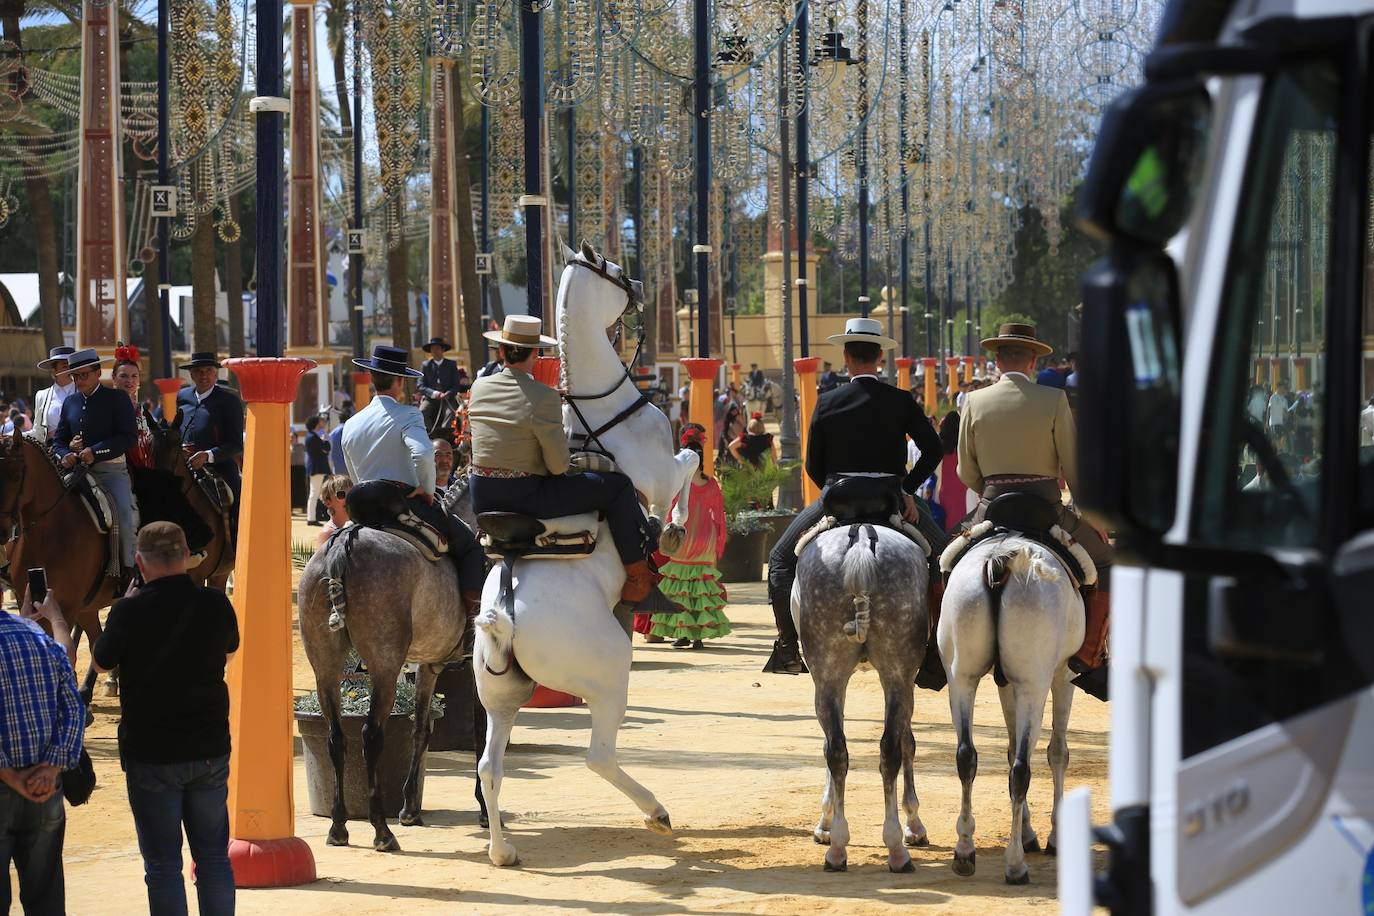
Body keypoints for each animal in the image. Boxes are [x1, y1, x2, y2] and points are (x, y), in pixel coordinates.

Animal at [295, 527, 467, 856]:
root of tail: (343, 544)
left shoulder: (427, 665)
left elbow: (421, 730)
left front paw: (410, 809)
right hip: (385, 669)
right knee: (371, 737)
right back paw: (381, 831)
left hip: (325, 670)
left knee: (336, 738)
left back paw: (338, 827)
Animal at [475, 238, 708, 867]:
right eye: (612, 269)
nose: (641, 287)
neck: (598, 408)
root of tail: (503, 615)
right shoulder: (656, 474)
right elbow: (688, 467)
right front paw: (672, 532)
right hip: (608, 678)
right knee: (598, 756)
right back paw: (657, 812)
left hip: (501, 699)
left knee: (489, 768)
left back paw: (503, 851)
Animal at [796, 508, 934, 873]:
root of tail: (860, 539)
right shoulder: (902, 678)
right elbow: (906, 742)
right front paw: (914, 824)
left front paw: (826, 825)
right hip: (894, 675)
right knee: (884, 750)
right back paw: (893, 848)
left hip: (836, 674)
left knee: (840, 750)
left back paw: (842, 848)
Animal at [934, 538, 1082, 889]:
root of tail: (1002, 559)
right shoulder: (1063, 674)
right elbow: (1057, 752)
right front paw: (1054, 835)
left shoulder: (1006, 683)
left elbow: (1012, 746)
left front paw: (1028, 832)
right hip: (1033, 684)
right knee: (1021, 770)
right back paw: (1015, 865)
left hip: (961, 676)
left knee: (966, 755)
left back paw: (964, 849)